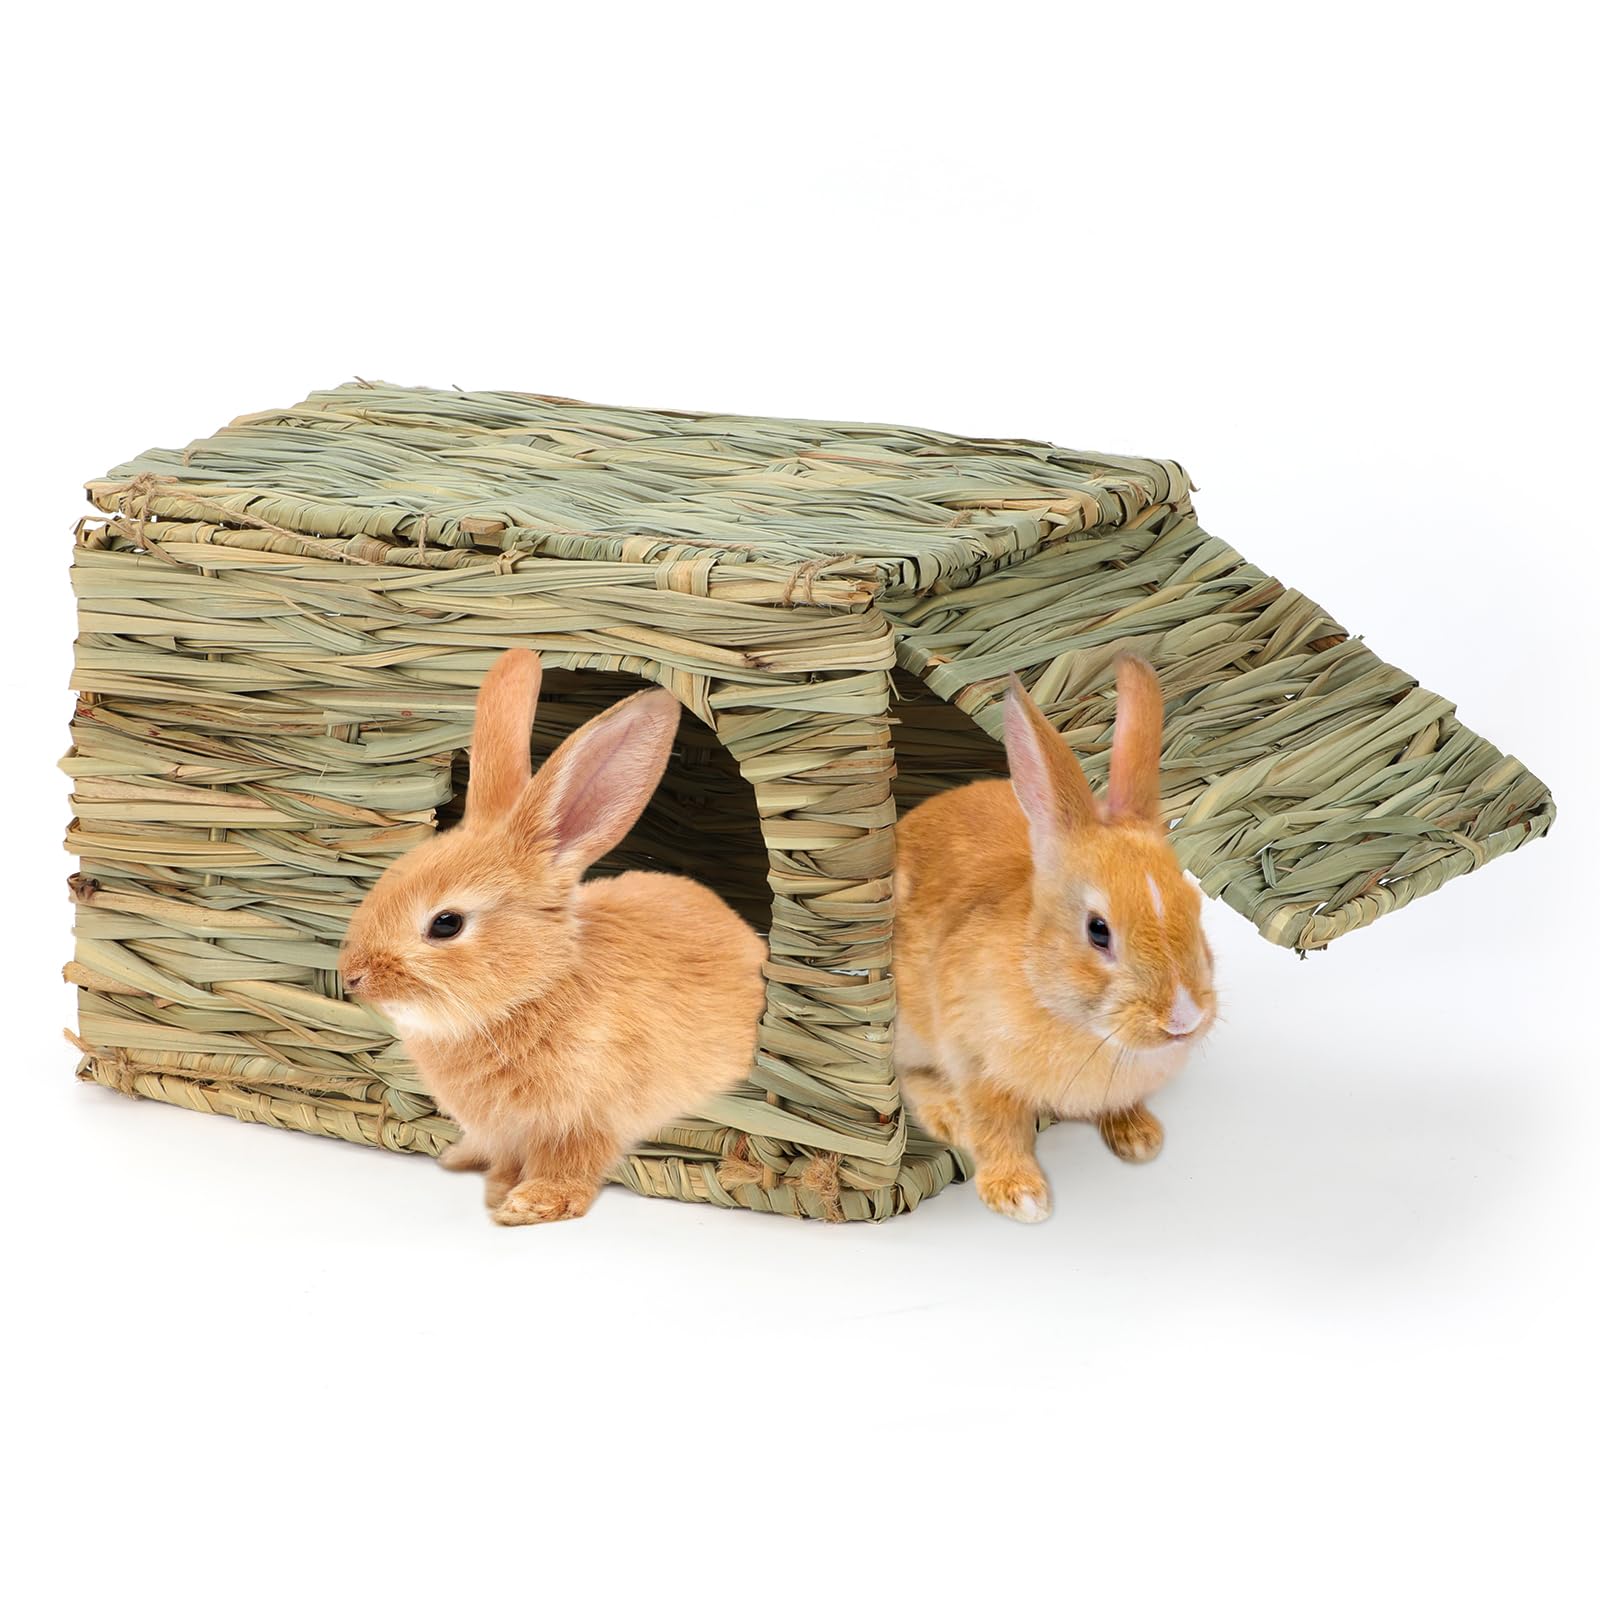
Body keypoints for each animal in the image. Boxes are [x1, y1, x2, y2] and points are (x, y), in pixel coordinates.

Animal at [339, 649, 766, 1226]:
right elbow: (504, 1154)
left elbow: (573, 1164)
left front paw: (528, 1205)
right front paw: (482, 1175)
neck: (535, 986)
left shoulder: (586, 1117)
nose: (352, 977)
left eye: (446, 924)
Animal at [892, 655, 1216, 1223]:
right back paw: (950, 1118)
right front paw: (1020, 1196)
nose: (1182, 1020)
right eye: (1098, 930)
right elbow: (996, 1127)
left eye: (1196, 909)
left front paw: (1140, 1138)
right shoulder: (973, 1059)